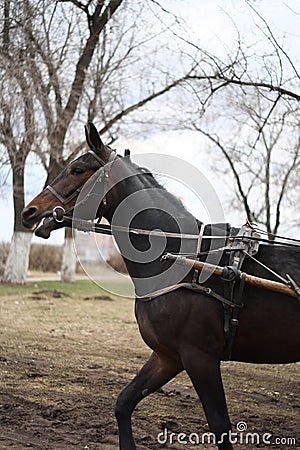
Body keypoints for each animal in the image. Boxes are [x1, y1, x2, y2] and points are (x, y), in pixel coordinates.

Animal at [21, 122, 300, 450]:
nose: (29, 211)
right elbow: (123, 403)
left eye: (76, 169)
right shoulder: (168, 356)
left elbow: (220, 425)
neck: (181, 258)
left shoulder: (200, 357)